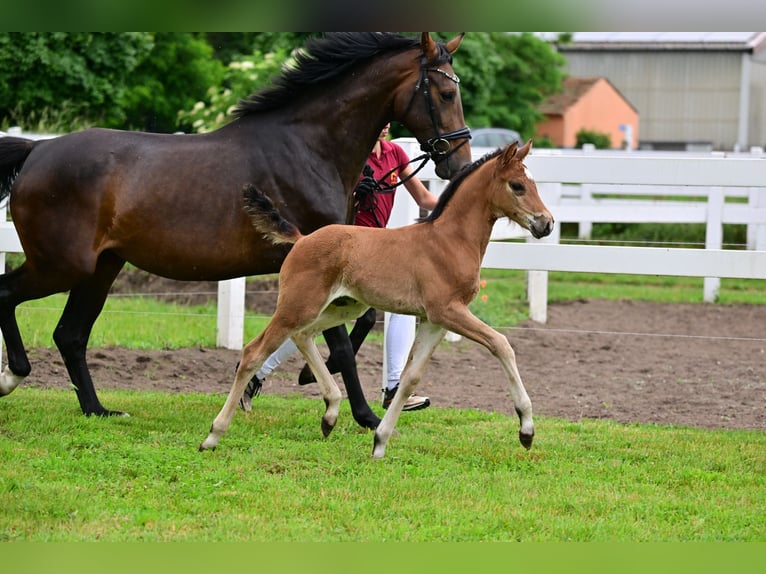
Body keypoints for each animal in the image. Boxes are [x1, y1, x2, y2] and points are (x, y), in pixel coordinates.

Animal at [0, 32, 472, 431]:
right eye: (447, 93)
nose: (459, 164)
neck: (308, 148)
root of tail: (37, 149)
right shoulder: (319, 262)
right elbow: (340, 344)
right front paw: (364, 416)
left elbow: (353, 325)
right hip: (62, 265)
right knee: (10, 297)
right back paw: (14, 376)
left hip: (101, 267)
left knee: (70, 334)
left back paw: (98, 410)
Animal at [199, 140, 554, 458]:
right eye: (517, 185)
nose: (546, 223)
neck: (449, 240)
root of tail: (301, 239)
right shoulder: (448, 311)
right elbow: (501, 344)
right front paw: (526, 429)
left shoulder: (435, 319)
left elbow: (411, 378)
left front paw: (380, 441)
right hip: (298, 305)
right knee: (253, 352)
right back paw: (213, 436)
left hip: (341, 307)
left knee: (302, 336)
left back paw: (330, 414)